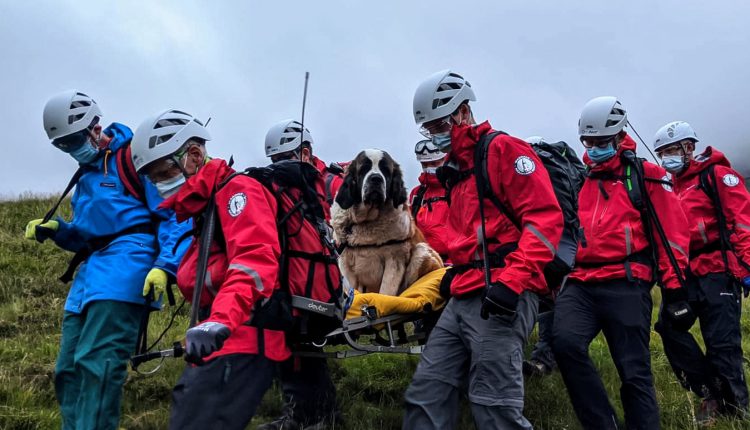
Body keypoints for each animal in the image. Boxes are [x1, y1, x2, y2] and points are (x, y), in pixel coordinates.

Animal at [332, 149, 444, 296]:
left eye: (385, 170)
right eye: (364, 169)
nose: (376, 178)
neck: (367, 221)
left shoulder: (394, 260)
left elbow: (386, 292)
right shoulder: (346, 264)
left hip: (422, 252)